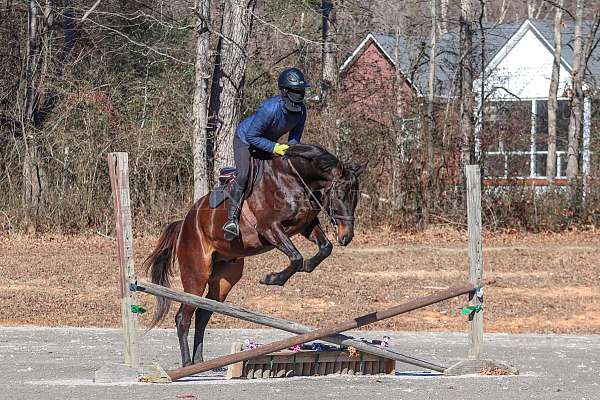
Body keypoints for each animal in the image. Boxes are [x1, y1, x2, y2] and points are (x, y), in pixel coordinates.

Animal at [144, 143, 366, 366]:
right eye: (340, 195)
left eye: (356, 198)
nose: (346, 237)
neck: (294, 179)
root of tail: (184, 224)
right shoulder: (269, 227)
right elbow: (296, 257)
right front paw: (272, 279)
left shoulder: (305, 225)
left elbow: (325, 247)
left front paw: (307, 267)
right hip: (196, 275)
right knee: (184, 317)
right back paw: (187, 363)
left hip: (224, 278)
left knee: (203, 312)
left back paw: (199, 361)